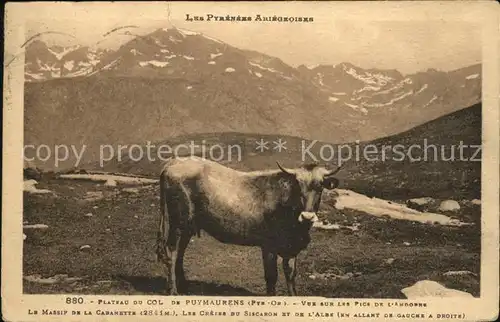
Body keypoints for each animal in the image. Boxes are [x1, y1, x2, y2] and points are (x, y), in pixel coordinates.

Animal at [156, 155, 344, 296]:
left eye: (320, 187)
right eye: (298, 185)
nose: (307, 216)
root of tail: (174, 162)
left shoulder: (292, 248)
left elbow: (290, 275)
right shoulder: (268, 246)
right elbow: (271, 277)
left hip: (188, 225)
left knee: (180, 252)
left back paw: (184, 287)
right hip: (178, 222)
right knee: (171, 250)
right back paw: (173, 291)